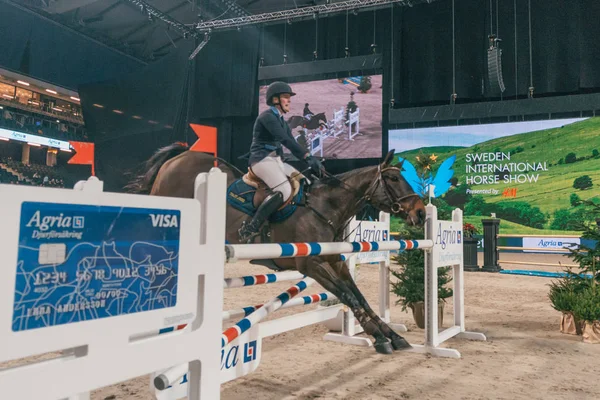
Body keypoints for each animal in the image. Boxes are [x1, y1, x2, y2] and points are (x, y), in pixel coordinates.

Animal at [125, 143, 426, 354]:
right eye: (394, 179)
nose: (421, 213)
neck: (326, 206)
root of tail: (178, 157)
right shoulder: (311, 264)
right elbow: (347, 295)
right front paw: (379, 338)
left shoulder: (335, 260)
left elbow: (359, 296)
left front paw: (394, 336)